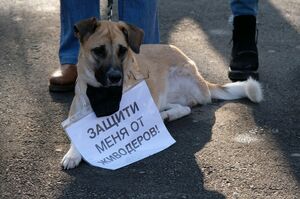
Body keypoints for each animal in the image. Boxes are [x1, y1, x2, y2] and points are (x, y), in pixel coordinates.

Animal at [61, 17, 262, 169]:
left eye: (122, 50)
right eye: (99, 51)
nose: (115, 77)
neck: (102, 95)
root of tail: (203, 80)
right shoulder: (75, 113)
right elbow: (76, 137)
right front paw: (73, 154)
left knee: (186, 108)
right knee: (180, 107)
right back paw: (165, 115)